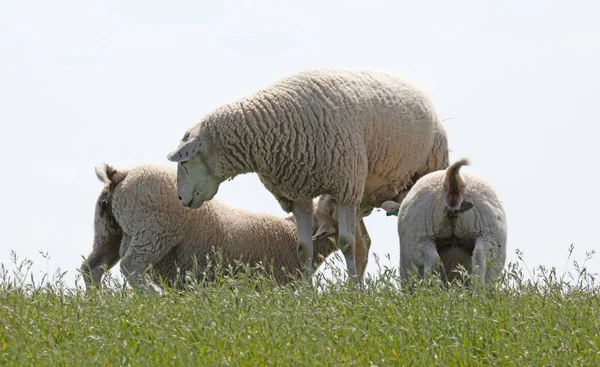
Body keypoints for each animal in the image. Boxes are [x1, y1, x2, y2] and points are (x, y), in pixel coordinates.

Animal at [79, 164, 370, 294]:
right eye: (333, 205)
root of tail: (121, 175)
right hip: (153, 230)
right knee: (131, 266)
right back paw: (153, 297)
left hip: (109, 231)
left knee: (92, 267)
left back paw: (98, 301)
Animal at [166, 67, 448, 286]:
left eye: (186, 161)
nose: (179, 198)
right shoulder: (298, 192)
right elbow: (304, 249)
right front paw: (307, 292)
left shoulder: (345, 187)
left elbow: (346, 243)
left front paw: (352, 294)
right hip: (364, 196)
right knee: (364, 243)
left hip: (423, 172)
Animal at [380, 157, 506, 288]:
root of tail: (452, 182)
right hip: (487, 233)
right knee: (479, 257)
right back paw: (477, 290)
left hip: (420, 237)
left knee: (432, 260)